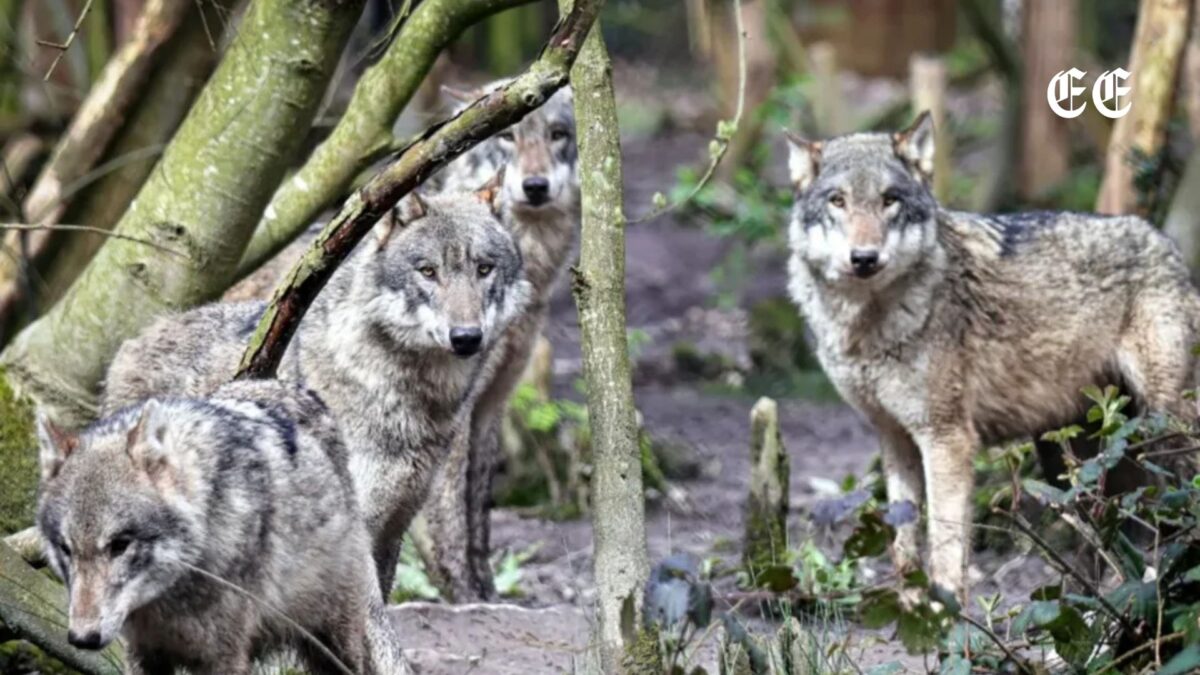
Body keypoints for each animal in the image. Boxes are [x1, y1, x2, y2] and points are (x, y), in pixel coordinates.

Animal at [37, 379, 409, 674]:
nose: (82, 638)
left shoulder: (224, 657)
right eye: (66, 549)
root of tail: (295, 387)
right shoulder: (142, 652)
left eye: (119, 544)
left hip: (333, 641)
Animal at [418, 82, 580, 599]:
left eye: (557, 134)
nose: (535, 186)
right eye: (507, 136)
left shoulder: (492, 401)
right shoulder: (453, 412)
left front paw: (487, 591)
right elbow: (448, 517)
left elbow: (479, 510)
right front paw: (464, 598)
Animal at [784, 112, 1200, 600]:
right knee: (1113, 534)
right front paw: (909, 613)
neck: (869, 324)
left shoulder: (947, 438)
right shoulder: (895, 438)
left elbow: (945, 547)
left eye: (889, 201)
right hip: (1072, 458)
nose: (864, 258)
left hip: (1164, 428)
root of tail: (1167, 244)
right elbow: (904, 548)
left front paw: (945, 613)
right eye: (838, 200)